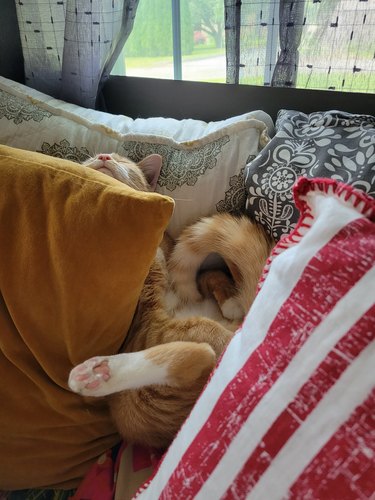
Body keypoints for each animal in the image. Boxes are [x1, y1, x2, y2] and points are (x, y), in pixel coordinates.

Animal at [69, 153, 274, 450]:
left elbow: (209, 275)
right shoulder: (148, 323)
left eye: (125, 163)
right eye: (91, 159)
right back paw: (97, 373)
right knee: (201, 351)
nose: (105, 156)